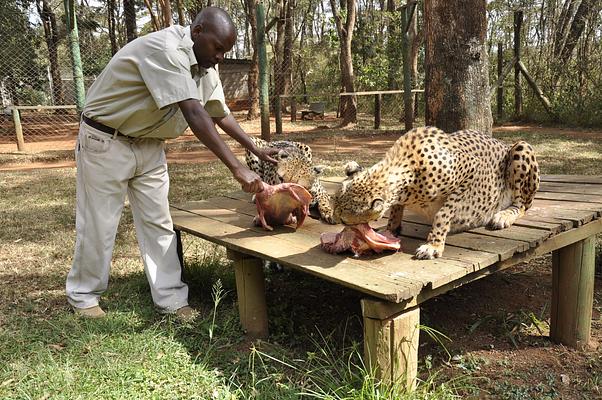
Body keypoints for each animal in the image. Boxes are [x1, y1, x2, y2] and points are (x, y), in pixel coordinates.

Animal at [332, 126, 540, 260]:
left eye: (344, 218)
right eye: (335, 200)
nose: (334, 218)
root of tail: (502, 142)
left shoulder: (473, 168)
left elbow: (443, 213)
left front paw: (434, 245)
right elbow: (395, 210)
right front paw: (390, 230)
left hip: (521, 147)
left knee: (522, 205)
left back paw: (503, 216)